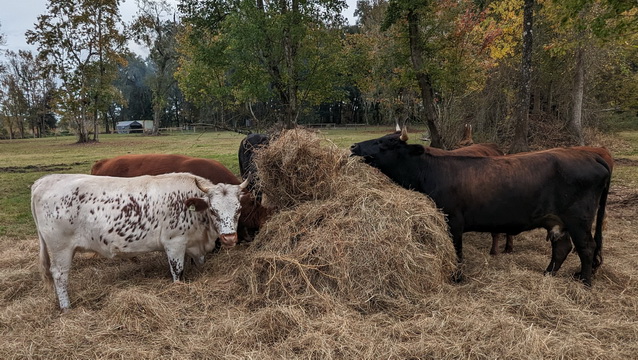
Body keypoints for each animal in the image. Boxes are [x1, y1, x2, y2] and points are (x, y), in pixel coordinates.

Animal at [31, 172, 249, 310]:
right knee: (59, 275)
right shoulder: (174, 243)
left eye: (238, 209)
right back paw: (66, 307)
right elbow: (177, 272)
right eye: (213, 210)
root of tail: (45, 180)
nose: (230, 238)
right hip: (60, 248)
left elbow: (199, 263)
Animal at [352, 128, 612, 286]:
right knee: (562, 248)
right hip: (557, 221)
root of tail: (592, 156)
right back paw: (549, 274)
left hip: (578, 219)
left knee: (587, 247)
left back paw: (585, 282)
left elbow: (457, 250)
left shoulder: (453, 220)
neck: (431, 170)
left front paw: (456, 277)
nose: (354, 146)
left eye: (385, 143)